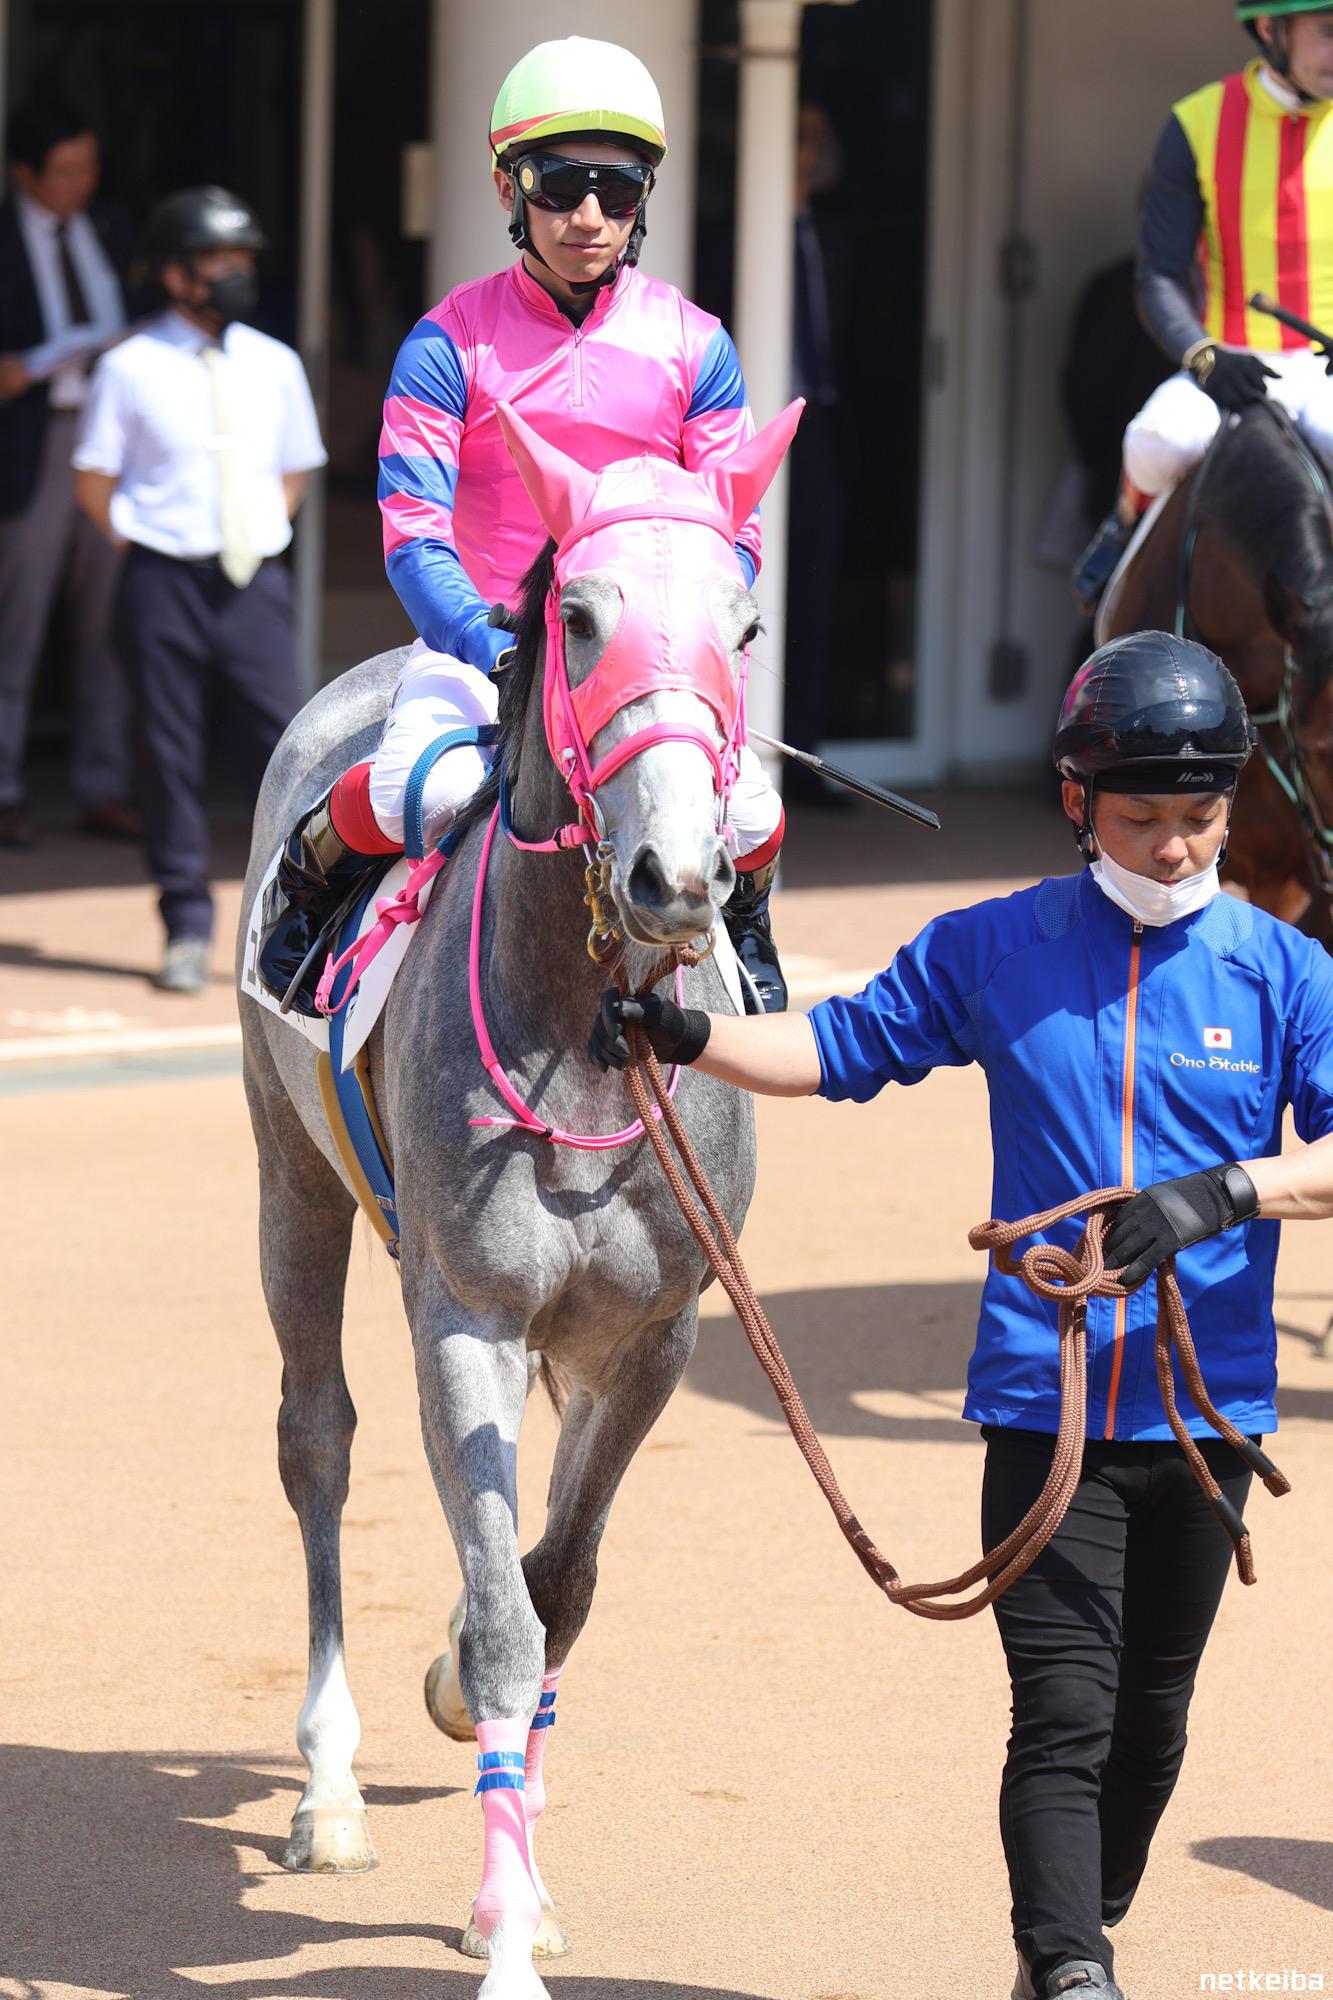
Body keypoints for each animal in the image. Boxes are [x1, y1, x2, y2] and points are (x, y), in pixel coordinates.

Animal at [236, 399, 802, 2000]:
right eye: (581, 615)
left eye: (745, 621)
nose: (676, 873)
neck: (593, 1036)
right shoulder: (465, 1317)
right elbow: (500, 1619)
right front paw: (501, 1947)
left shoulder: (656, 1338)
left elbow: (559, 1586)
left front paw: (525, 1897)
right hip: (291, 1183)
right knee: (317, 1444)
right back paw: (330, 1791)